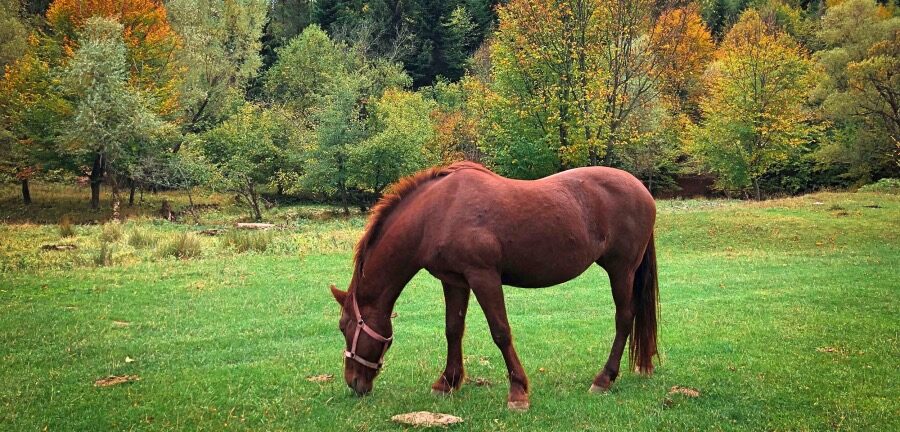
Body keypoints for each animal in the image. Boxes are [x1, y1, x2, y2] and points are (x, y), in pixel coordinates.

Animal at [330, 161, 660, 408]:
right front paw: (447, 382)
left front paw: (518, 391)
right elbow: (453, 330)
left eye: (345, 327)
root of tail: (642, 190)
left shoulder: (483, 276)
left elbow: (500, 332)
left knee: (623, 319)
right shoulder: (454, 281)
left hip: (621, 270)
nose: (354, 383)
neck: (437, 212)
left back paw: (603, 378)